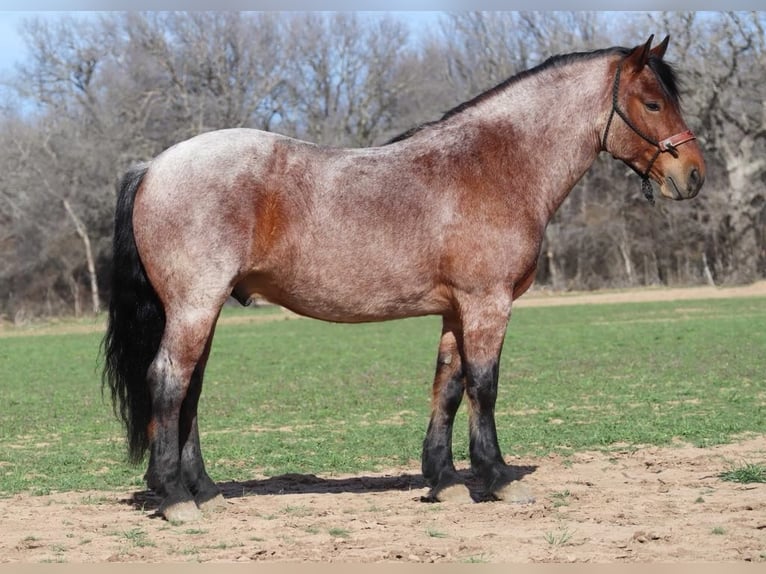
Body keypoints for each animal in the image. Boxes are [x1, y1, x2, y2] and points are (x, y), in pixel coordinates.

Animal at [102, 33, 708, 524]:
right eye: (653, 102)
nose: (693, 175)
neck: (494, 165)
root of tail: (154, 166)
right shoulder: (488, 303)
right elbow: (484, 386)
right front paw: (498, 478)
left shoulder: (456, 309)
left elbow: (448, 386)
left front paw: (444, 481)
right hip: (194, 306)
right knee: (169, 382)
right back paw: (176, 498)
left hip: (202, 310)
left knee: (191, 390)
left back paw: (204, 491)